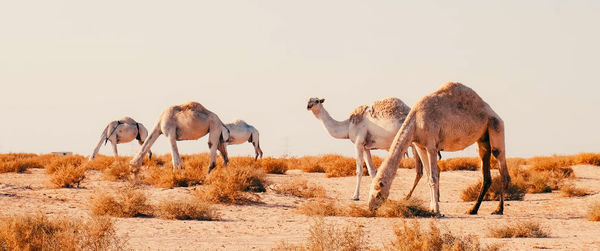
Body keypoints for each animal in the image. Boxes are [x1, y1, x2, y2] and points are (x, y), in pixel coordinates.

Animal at [366, 82, 510, 216]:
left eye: (378, 194)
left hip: (496, 126)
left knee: (502, 167)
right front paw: (431, 208)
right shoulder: (420, 146)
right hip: (482, 138)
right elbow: (428, 176)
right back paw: (472, 210)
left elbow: (433, 177)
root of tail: (492, 112)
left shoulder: (431, 146)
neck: (415, 122)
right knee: (486, 174)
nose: (371, 208)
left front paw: (437, 210)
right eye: (370, 192)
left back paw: (499, 209)